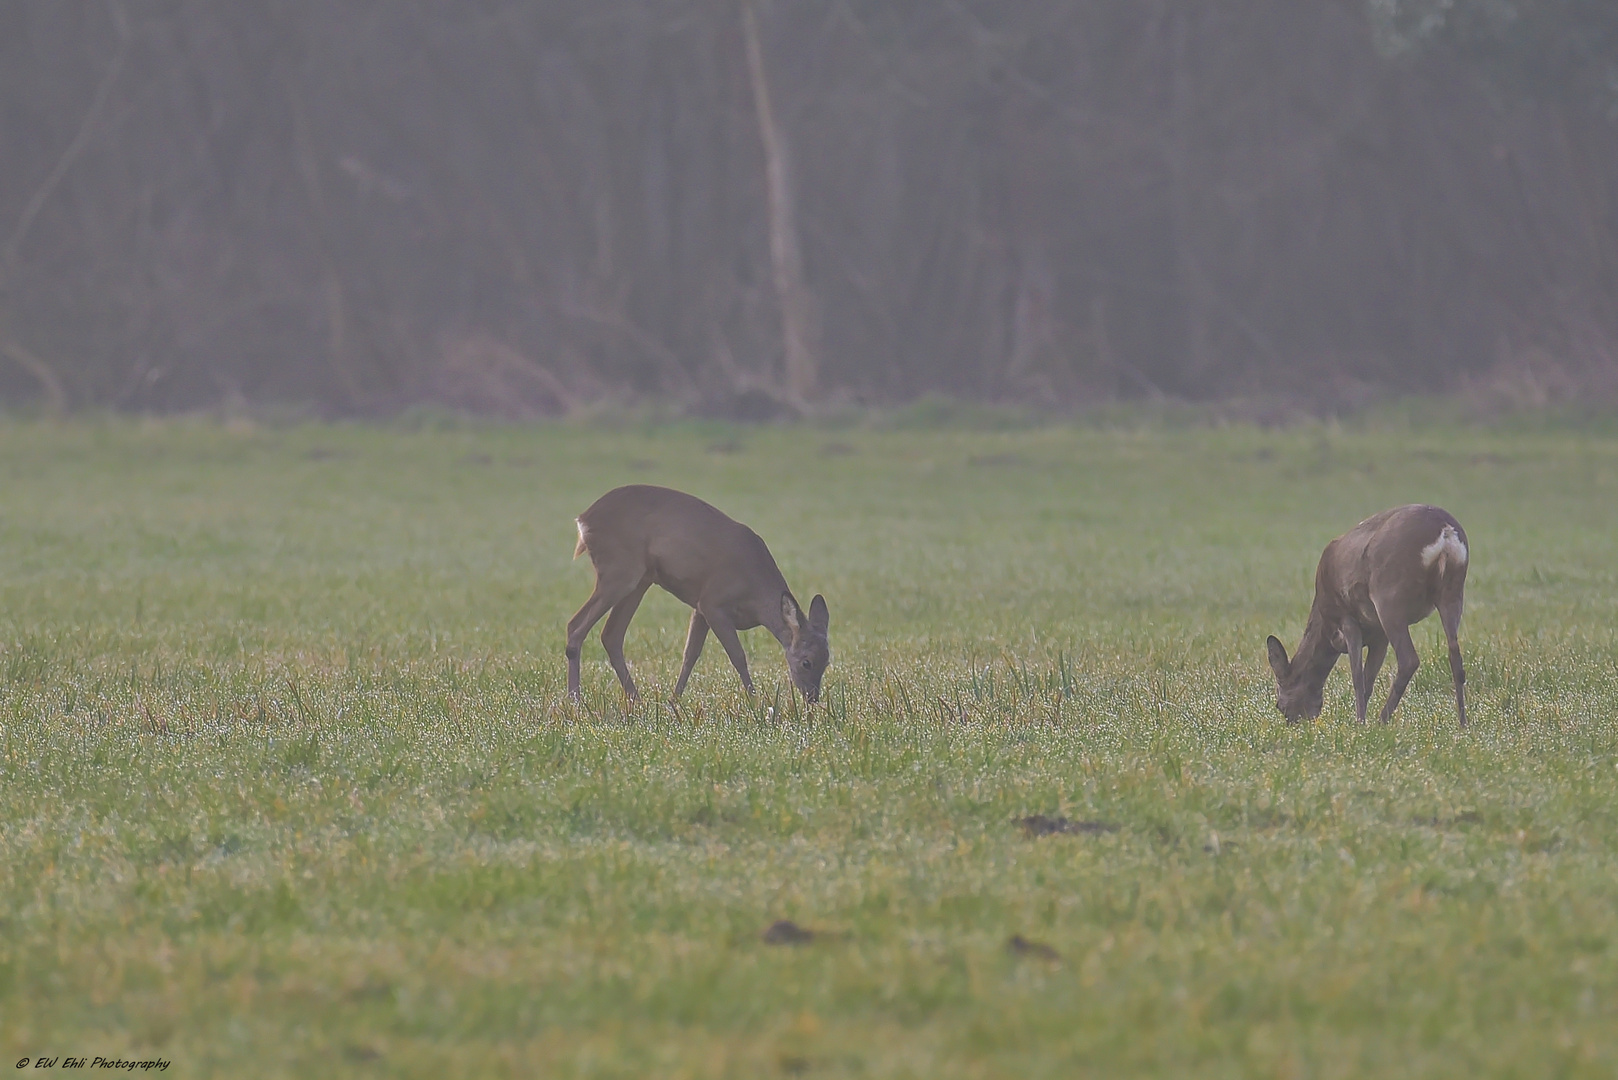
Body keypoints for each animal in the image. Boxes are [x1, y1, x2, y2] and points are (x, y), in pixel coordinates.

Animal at [563, 485, 828, 705]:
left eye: (827, 661)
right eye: (806, 662)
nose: (812, 697)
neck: (756, 596)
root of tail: (582, 520)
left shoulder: (700, 607)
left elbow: (690, 655)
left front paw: (673, 701)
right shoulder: (713, 602)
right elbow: (737, 656)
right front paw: (756, 701)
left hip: (640, 579)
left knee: (611, 635)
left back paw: (636, 699)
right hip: (619, 571)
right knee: (576, 625)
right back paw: (576, 701)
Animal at [1268, 505, 1475, 725]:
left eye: (1279, 705)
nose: (1294, 723)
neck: (1326, 626)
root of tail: (1445, 529)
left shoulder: (1347, 618)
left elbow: (1358, 677)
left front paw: (1359, 723)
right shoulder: (1379, 635)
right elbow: (1368, 680)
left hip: (1389, 596)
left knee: (1409, 659)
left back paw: (1382, 719)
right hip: (1453, 591)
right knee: (1455, 656)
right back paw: (1462, 723)